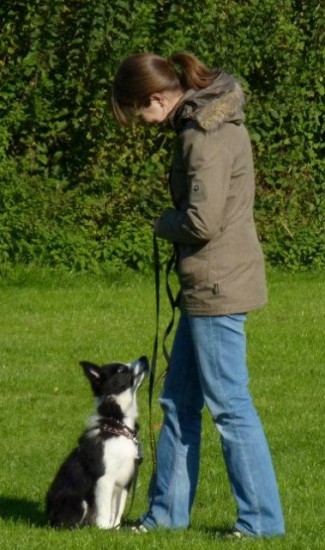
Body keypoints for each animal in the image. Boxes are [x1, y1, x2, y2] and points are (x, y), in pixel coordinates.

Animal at [45, 356, 149, 532]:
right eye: (121, 370)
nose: (144, 358)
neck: (118, 426)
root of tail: (49, 517)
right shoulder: (104, 478)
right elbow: (105, 511)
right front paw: (104, 530)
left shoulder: (124, 482)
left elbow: (118, 511)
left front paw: (115, 530)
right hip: (77, 502)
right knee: (68, 524)